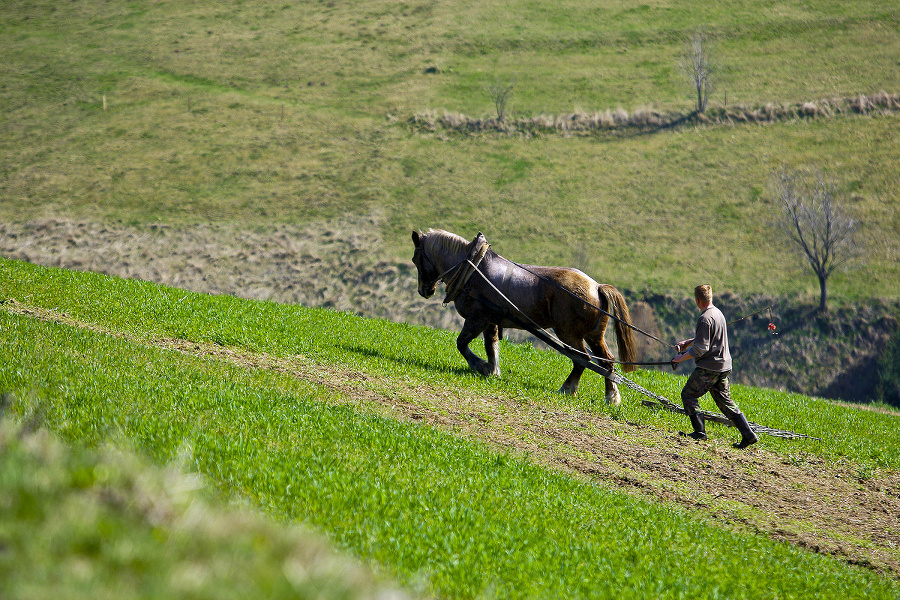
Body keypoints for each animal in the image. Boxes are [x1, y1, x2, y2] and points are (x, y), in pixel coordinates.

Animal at [412, 229, 636, 404]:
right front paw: (492, 370)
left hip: (569, 334)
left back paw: (568, 388)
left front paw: (480, 366)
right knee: (607, 362)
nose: (424, 291)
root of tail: (597, 286)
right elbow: (491, 345)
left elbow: (462, 343)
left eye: (416, 259)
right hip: (593, 335)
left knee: (582, 359)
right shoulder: (490, 320)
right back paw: (611, 397)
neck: (472, 269)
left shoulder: (477, 319)